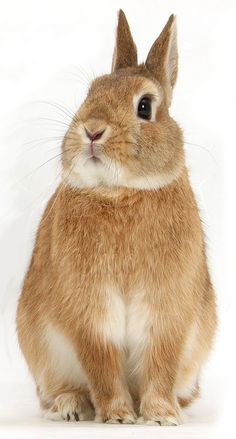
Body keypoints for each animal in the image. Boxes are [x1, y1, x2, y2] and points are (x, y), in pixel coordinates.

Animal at [16, 8, 216, 424]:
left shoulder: (165, 313)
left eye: (145, 106)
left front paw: (160, 416)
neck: (120, 192)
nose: (92, 130)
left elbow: (160, 364)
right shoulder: (90, 315)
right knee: (59, 390)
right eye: (90, 93)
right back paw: (72, 407)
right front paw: (119, 416)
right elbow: (102, 366)